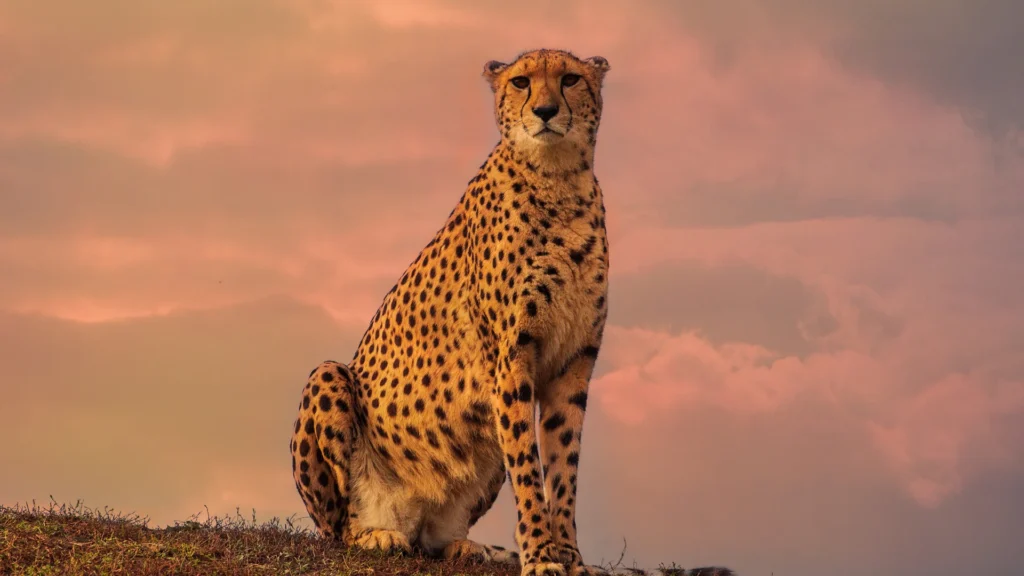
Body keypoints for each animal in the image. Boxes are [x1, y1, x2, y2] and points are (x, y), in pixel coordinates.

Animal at [289, 48, 613, 576]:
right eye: (521, 81)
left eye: (569, 79)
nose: (545, 111)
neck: (558, 178)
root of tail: (413, 518)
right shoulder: (511, 360)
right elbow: (529, 467)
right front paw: (541, 556)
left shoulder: (574, 361)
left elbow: (563, 467)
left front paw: (569, 557)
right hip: (329, 377)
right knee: (337, 527)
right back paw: (373, 534)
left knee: (435, 538)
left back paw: (465, 546)